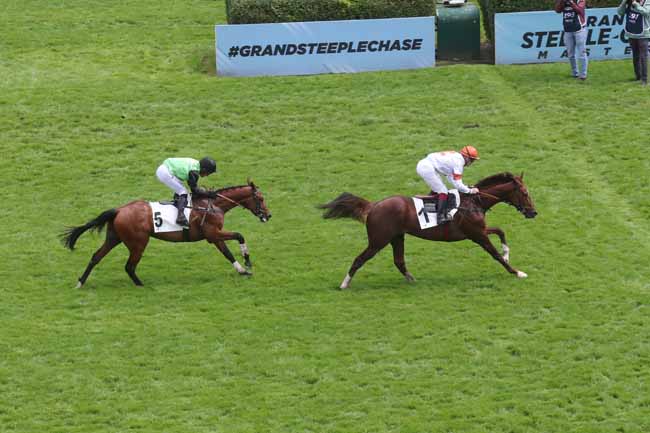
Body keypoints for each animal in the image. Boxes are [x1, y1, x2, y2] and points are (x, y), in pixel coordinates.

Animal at [62, 180, 270, 286]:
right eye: (260, 198)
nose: (268, 215)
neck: (213, 205)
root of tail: (119, 210)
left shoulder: (214, 236)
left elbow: (227, 253)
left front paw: (242, 270)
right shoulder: (213, 234)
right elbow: (239, 235)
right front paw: (247, 261)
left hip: (115, 238)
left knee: (96, 256)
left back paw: (81, 282)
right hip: (138, 243)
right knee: (129, 266)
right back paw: (141, 284)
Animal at [318, 170, 536, 288]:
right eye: (525, 193)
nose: (533, 212)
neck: (475, 201)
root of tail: (373, 206)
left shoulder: (478, 231)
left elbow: (500, 231)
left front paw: (507, 254)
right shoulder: (477, 234)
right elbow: (495, 254)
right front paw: (516, 272)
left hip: (397, 237)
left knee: (399, 261)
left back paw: (412, 279)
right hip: (378, 240)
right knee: (359, 259)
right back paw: (344, 284)